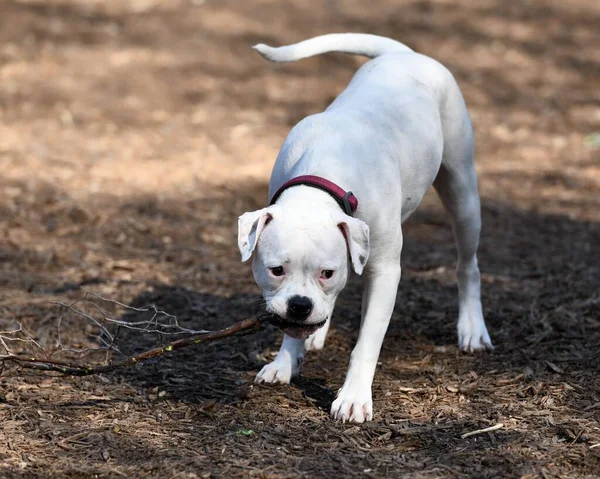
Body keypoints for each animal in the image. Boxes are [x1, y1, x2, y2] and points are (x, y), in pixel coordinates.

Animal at [238, 33, 492, 424]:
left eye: (327, 272)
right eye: (276, 270)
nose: (300, 306)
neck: (327, 171)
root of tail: (403, 54)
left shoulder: (385, 272)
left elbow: (367, 342)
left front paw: (354, 397)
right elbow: (300, 327)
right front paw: (286, 361)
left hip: (462, 192)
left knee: (468, 266)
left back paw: (472, 329)